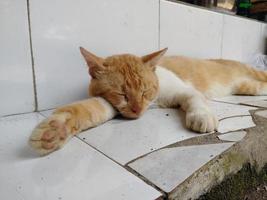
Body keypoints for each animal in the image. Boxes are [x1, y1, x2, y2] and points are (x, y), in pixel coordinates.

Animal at [28, 47, 267, 155]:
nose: (136, 110)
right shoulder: (109, 104)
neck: (156, 101)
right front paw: (54, 131)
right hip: (245, 86)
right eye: (122, 95)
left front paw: (202, 116)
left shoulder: (185, 91)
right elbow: (88, 109)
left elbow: (195, 100)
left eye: (144, 91)